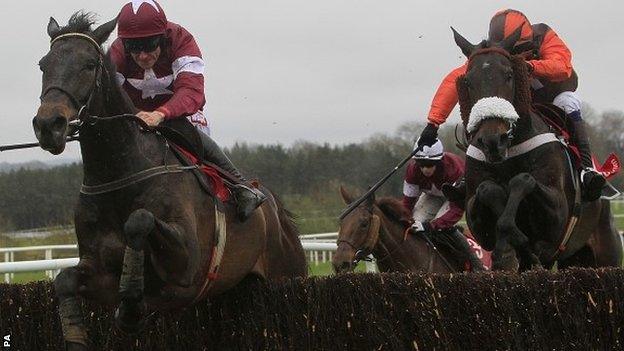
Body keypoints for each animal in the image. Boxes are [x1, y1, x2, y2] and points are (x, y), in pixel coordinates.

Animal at [34, 12, 308, 350]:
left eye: (88, 64)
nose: (49, 124)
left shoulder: (185, 267)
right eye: (43, 64)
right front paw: (79, 333)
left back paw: (247, 195)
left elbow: (140, 220)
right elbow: (64, 280)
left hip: (288, 274)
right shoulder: (99, 272)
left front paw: (131, 304)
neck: (121, 174)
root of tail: (274, 207)